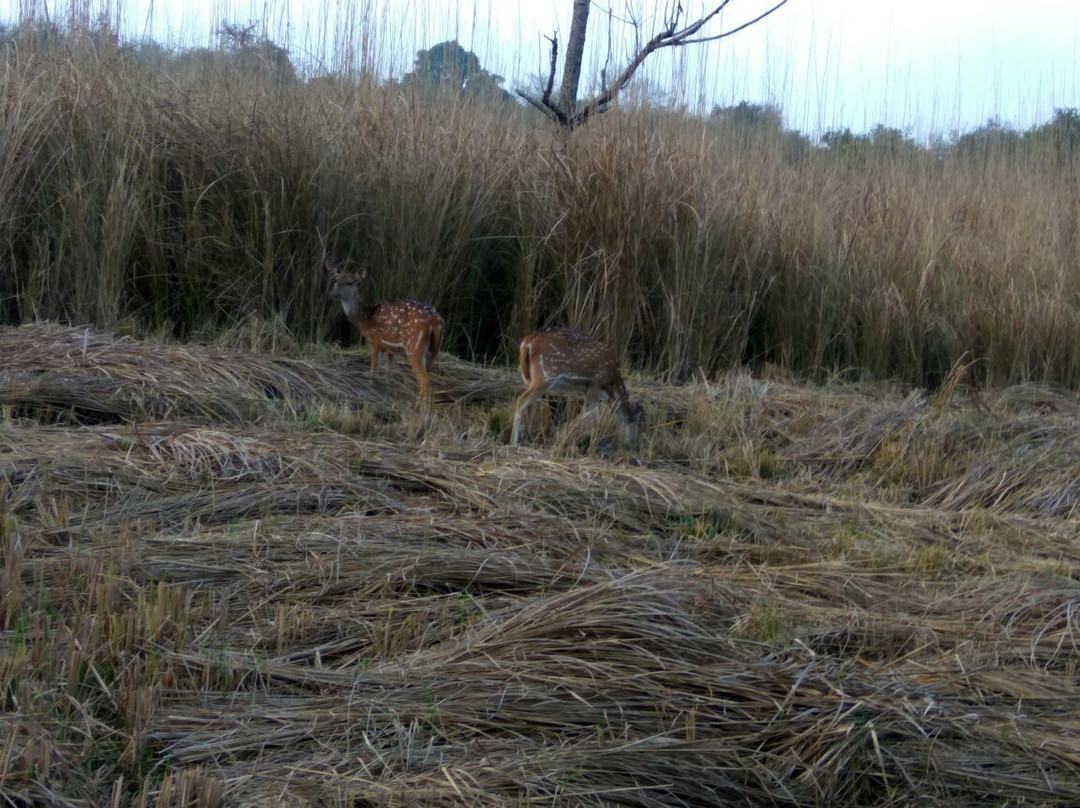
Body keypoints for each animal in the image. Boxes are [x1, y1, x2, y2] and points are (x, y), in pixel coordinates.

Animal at [328, 259, 447, 404]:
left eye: (349, 283)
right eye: (335, 280)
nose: (333, 294)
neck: (366, 318)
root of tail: (436, 322)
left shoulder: (374, 342)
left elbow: (373, 370)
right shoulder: (391, 349)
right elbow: (389, 375)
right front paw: (386, 393)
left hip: (414, 347)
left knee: (424, 379)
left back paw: (417, 406)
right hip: (434, 350)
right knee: (426, 378)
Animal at [507, 324, 639, 447]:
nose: (631, 445)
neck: (611, 382)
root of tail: (527, 342)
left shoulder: (588, 388)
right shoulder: (595, 382)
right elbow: (588, 414)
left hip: (528, 377)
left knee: (531, 404)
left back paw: (529, 436)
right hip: (547, 374)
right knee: (522, 400)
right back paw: (514, 442)